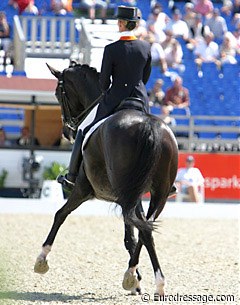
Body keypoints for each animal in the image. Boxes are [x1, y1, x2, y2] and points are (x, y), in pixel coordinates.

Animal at [34, 61, 179, 294]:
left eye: (57, 93)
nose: (67, 132)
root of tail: (148, 125)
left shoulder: (83, 189)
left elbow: (60, 214)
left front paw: (41, 260)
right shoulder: (135, 196)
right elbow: (134, 235)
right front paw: (136, 280)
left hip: (124, 194)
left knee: (142, 229)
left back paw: (139, 278)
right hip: (158, 194)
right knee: (146, 228)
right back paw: (150, 281)